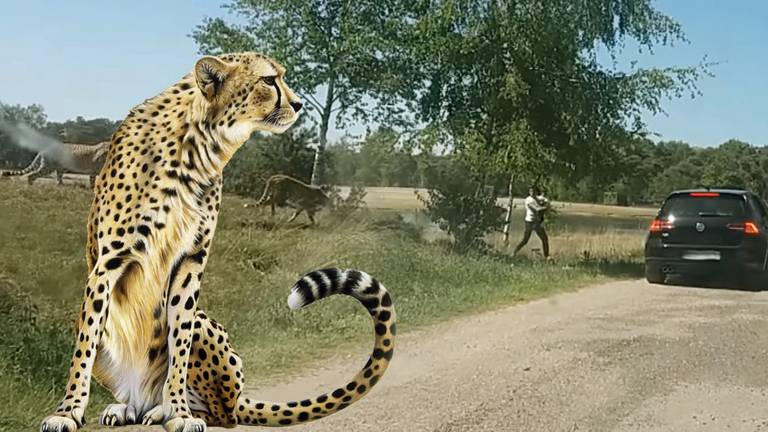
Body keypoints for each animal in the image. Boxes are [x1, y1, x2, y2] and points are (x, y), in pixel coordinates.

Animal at [39, 53, 396, 432]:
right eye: (269, 80)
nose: (299, 104)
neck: (198, 146)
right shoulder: (108, 264)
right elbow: (84, 347)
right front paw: (67, 412)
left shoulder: (191, 262)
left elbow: (179, 345)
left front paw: (179, 412)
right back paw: (128, 408)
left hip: (209, 338)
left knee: (223, 413)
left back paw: (164, 410)